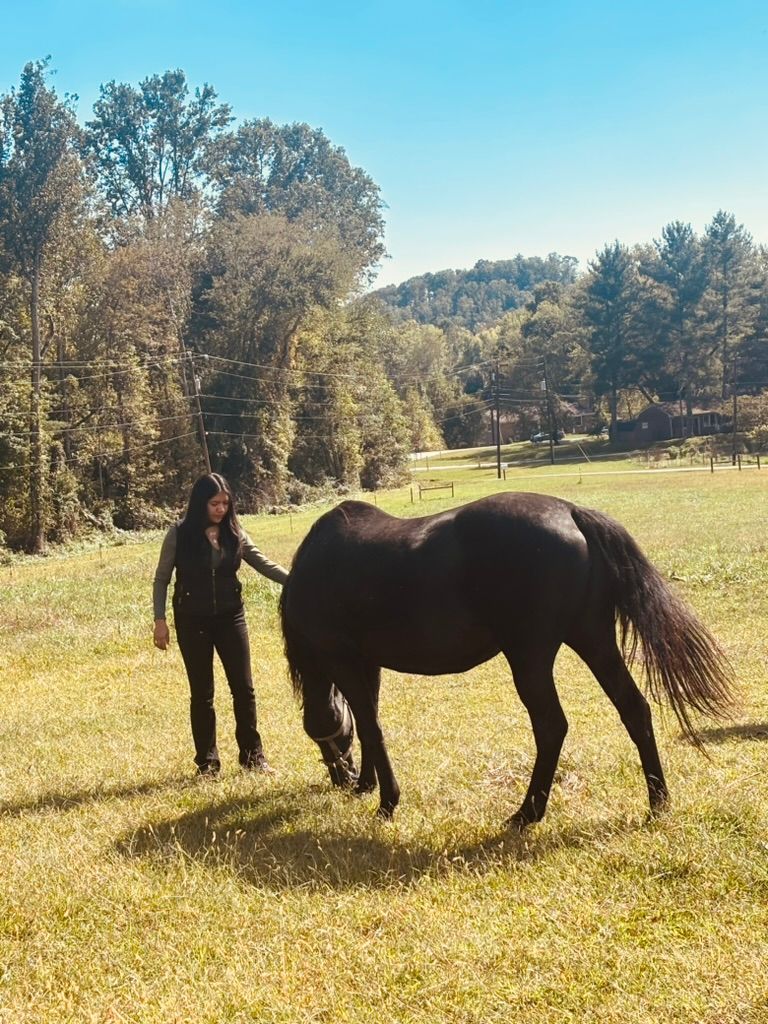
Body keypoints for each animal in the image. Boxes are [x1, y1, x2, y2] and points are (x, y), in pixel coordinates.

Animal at [279, 492, 733, 827]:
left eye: (322, 737)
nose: (341, 779)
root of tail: (571, 512)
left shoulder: (343, 660)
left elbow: (371, 728)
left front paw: (386, 802)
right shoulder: (367, 665)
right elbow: (367, 721)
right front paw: (368, 786)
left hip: (530, 656)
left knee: (551, 726)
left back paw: (527, 812)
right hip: (594, 641)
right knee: (634, 709)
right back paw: (657, 801)